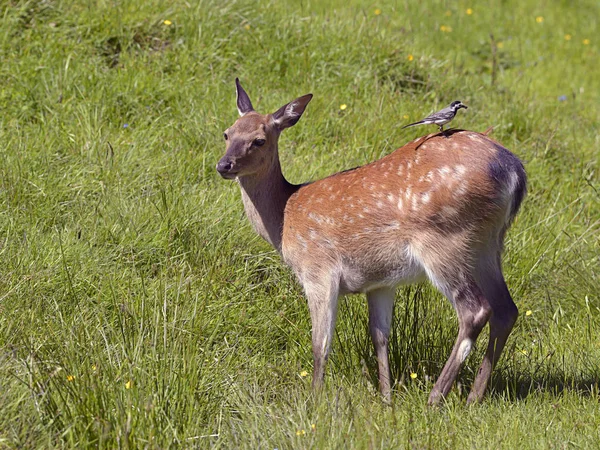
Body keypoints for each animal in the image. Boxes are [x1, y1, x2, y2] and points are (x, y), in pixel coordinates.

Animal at [216, 78, 524, 404]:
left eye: (259, 140)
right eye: (227, 133)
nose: (224, 165)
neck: (284, 216)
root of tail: (514, 170)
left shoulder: (318, 270)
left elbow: (320, 343)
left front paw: (315, 399)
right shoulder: (380, 282)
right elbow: (380, 336)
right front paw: (386, 398)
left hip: (443, 239)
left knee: (475, 310)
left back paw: (435, 398)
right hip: (487, 244)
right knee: (506, 309)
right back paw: (474, 397)